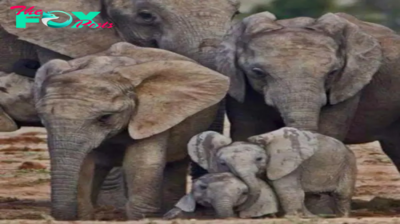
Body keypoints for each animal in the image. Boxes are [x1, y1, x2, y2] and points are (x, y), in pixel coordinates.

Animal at [33, 42, 230, 220]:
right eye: (43, 118)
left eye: (105, 117)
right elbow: (85, 165)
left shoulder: (153, 114)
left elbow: (140, 164)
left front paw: (142, 218)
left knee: (176, 164)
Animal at [189, 128, 358, 217]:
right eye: (223, 163)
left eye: (259, 159)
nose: (237, 211)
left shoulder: (286, 164)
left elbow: (286, 190)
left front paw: (291, 217)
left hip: (348, 164)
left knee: (342, 195)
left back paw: (341, 217)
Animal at [217, 12, 400, 176]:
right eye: (258, 72)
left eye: (333, 72)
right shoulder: (240, 84)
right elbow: (248, 129)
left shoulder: (347, 85)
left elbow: (328, 131)